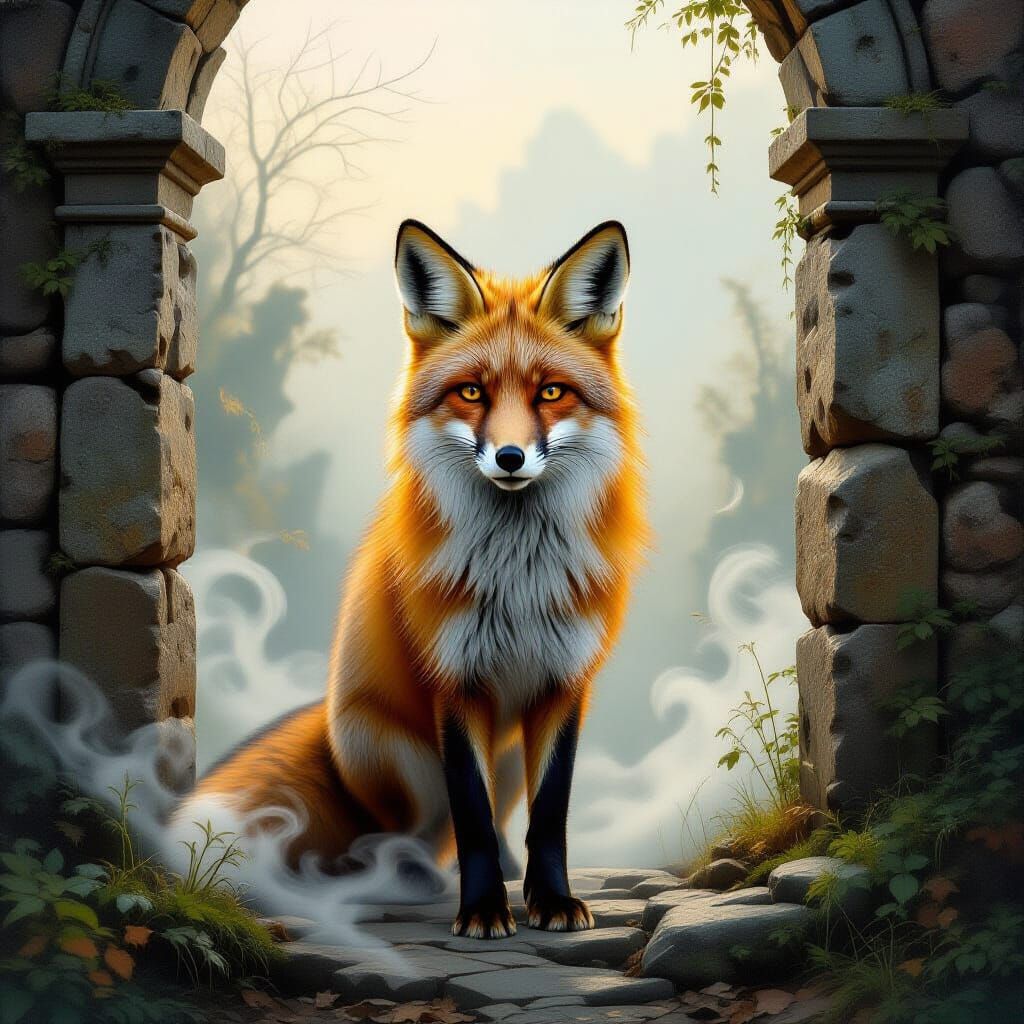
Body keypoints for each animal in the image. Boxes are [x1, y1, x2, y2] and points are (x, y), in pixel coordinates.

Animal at [180, 219, 647, 938]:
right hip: (389, 750)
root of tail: (327, 718)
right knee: (404, 833)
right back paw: (408, 875)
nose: (509, 456)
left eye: (550, 392)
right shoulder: (454, 680)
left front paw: (550, 899)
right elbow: (471, 816)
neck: (517, 582)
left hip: (504, 752)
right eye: (472, 392)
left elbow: (550, 815)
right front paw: (483, 910)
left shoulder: (564, 683)